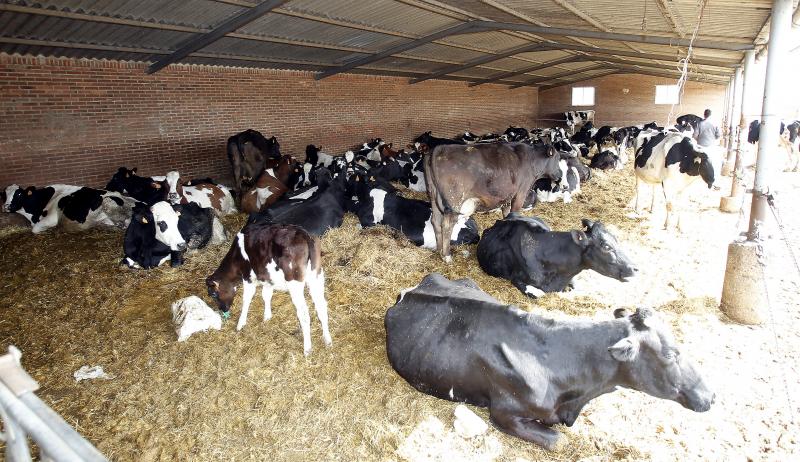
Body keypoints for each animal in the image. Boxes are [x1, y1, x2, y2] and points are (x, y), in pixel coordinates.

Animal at [208, 223, 332, 354]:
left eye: (213, 294)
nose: (223, 309)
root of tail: (305, 235)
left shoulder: (248, 277)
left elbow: (246, 299)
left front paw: (241, 323)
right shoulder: (267, 278)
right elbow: (266, 295)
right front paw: (267, 316)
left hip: (294, 282)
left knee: (303, 313)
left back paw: (307, 348)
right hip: (317, 276)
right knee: (322, 306)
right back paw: (327, 339)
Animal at [424, 143, 564, 262]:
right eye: (557, 159)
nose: (560, 175)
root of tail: (439, 148)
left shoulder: (507, 196)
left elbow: (507, 214)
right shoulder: (520, 193)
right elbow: (515, 213)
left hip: (433, 196)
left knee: (435, 221)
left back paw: (439, 249)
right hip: (455, 201)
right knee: (447, 225)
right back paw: (447, 256)